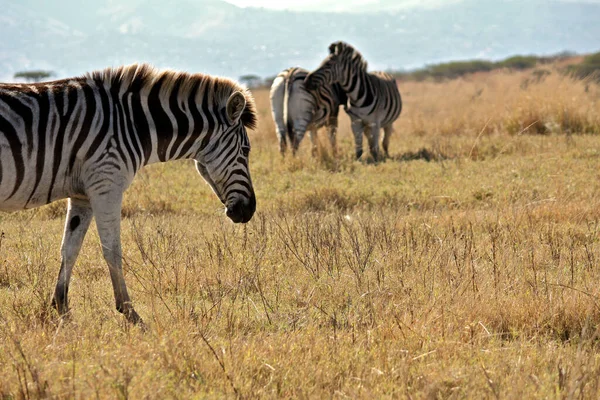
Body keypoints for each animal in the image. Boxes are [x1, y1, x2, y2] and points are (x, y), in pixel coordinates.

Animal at [0, 63, 255, 324]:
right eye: (246, 150)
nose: (249, 210)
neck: (133, 124)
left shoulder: (82, 196)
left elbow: (69, 249)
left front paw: (61, 309)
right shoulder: (106, 185)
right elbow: (113, 250)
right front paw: (130, 313)